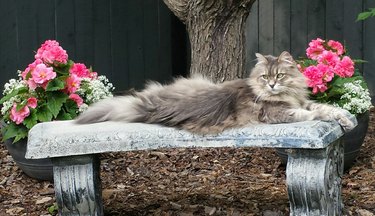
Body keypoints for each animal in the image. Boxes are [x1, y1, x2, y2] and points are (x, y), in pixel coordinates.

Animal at [75, 51, 356, 133]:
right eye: (265, 77)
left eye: (279, 76)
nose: (271, 85)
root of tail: (152, 105)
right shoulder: (278, 113)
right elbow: (314, 114)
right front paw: (333, 119)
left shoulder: (300, 101)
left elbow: (327, 108)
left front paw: (346, 119)